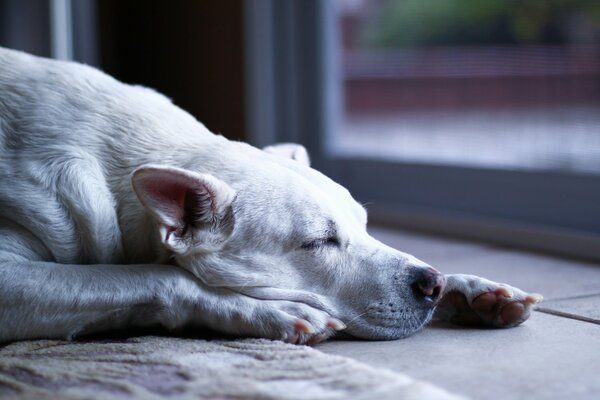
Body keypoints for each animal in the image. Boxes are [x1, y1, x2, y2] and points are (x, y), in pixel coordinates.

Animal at [0, 47, 544, 344]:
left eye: (366, 226)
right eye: (318, 243)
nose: (431, 285)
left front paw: (470, 289)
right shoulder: (15, 277)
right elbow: (146, 276)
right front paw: (267, 313)